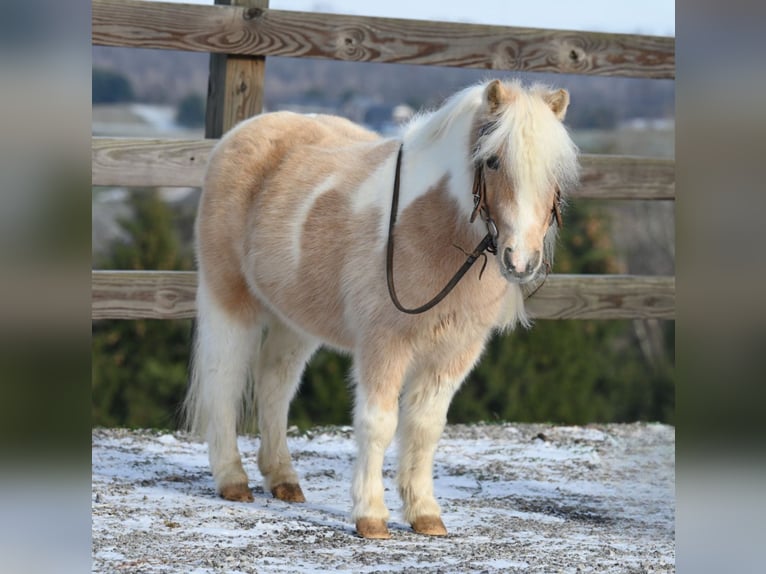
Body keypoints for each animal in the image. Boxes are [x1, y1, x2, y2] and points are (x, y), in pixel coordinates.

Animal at [186, 80, 584, 540]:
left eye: (556, 172)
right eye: (494, 161)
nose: (520, 261)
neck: (427, 227)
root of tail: (239, 135)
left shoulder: (453, 353)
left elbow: (425, 427)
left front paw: (425, 514)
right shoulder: (384, 345)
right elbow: (378, 423)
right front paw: (371, 517)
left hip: (295, 321)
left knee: (275, 384)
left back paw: (284, 480)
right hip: (229, 300)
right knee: (224, 379)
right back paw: (233, 481)